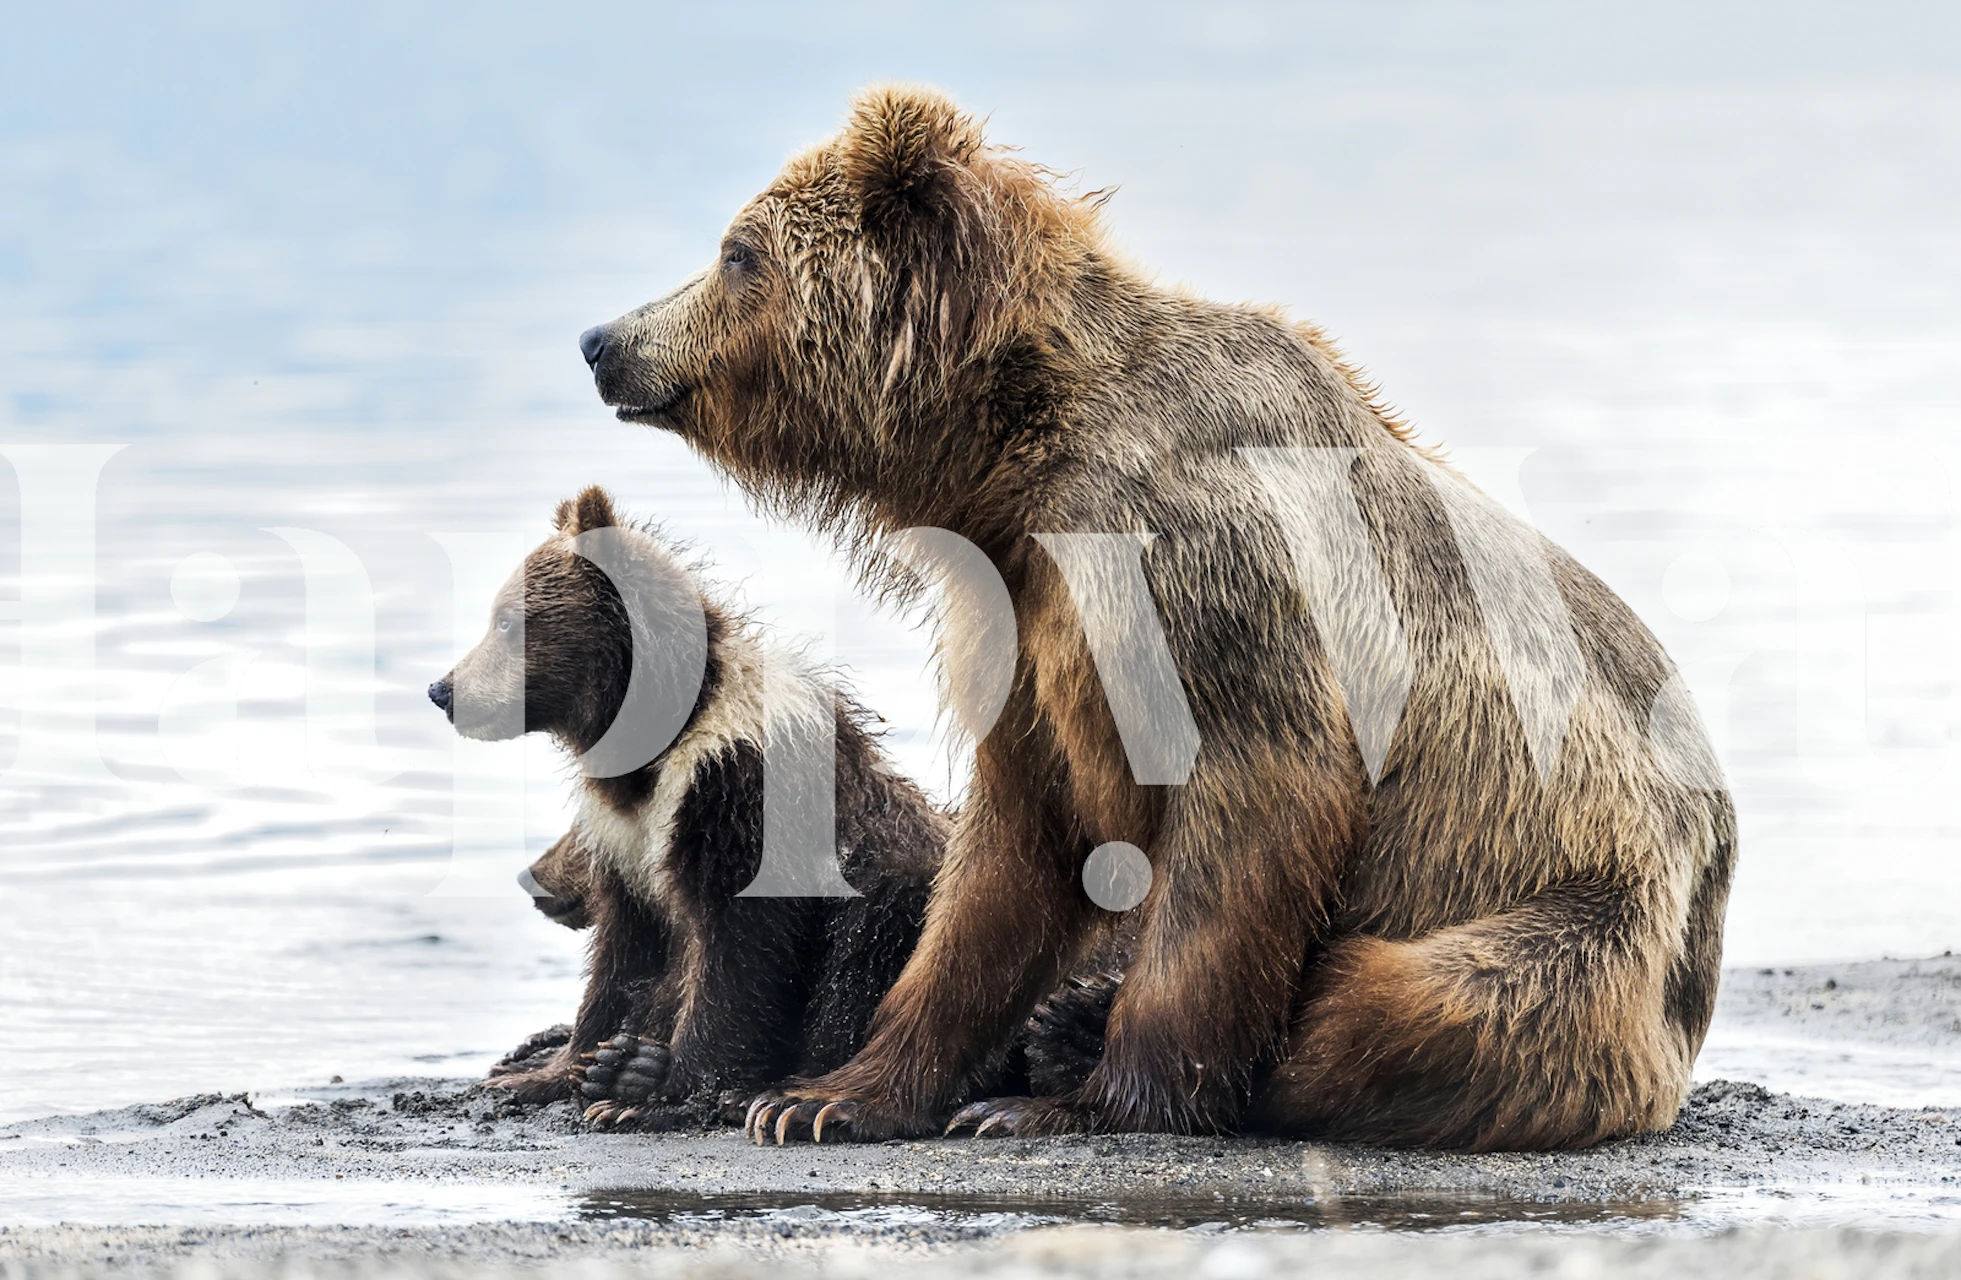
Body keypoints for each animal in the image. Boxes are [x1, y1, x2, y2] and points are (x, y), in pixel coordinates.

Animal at [430, 486, 950, 1128]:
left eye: (506, 621)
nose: (444, 690)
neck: (654, 743)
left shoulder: (733, 782)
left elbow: (738, 941)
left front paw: (658, 1089)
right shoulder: (621, 832)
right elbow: (624, 948)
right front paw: (550, 1072)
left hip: (896, 881)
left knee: (865, 947)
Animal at [573, 85, 1736, 1151]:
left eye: (736, 253)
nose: (601, 338)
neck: (1016, 464)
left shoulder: (1203, 575)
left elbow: (1250, 807)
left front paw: (1073, 1100)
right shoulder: (1022, 621)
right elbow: (1000, 864)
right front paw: (829, 1094)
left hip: (1574, 924)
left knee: (1394, 1001)